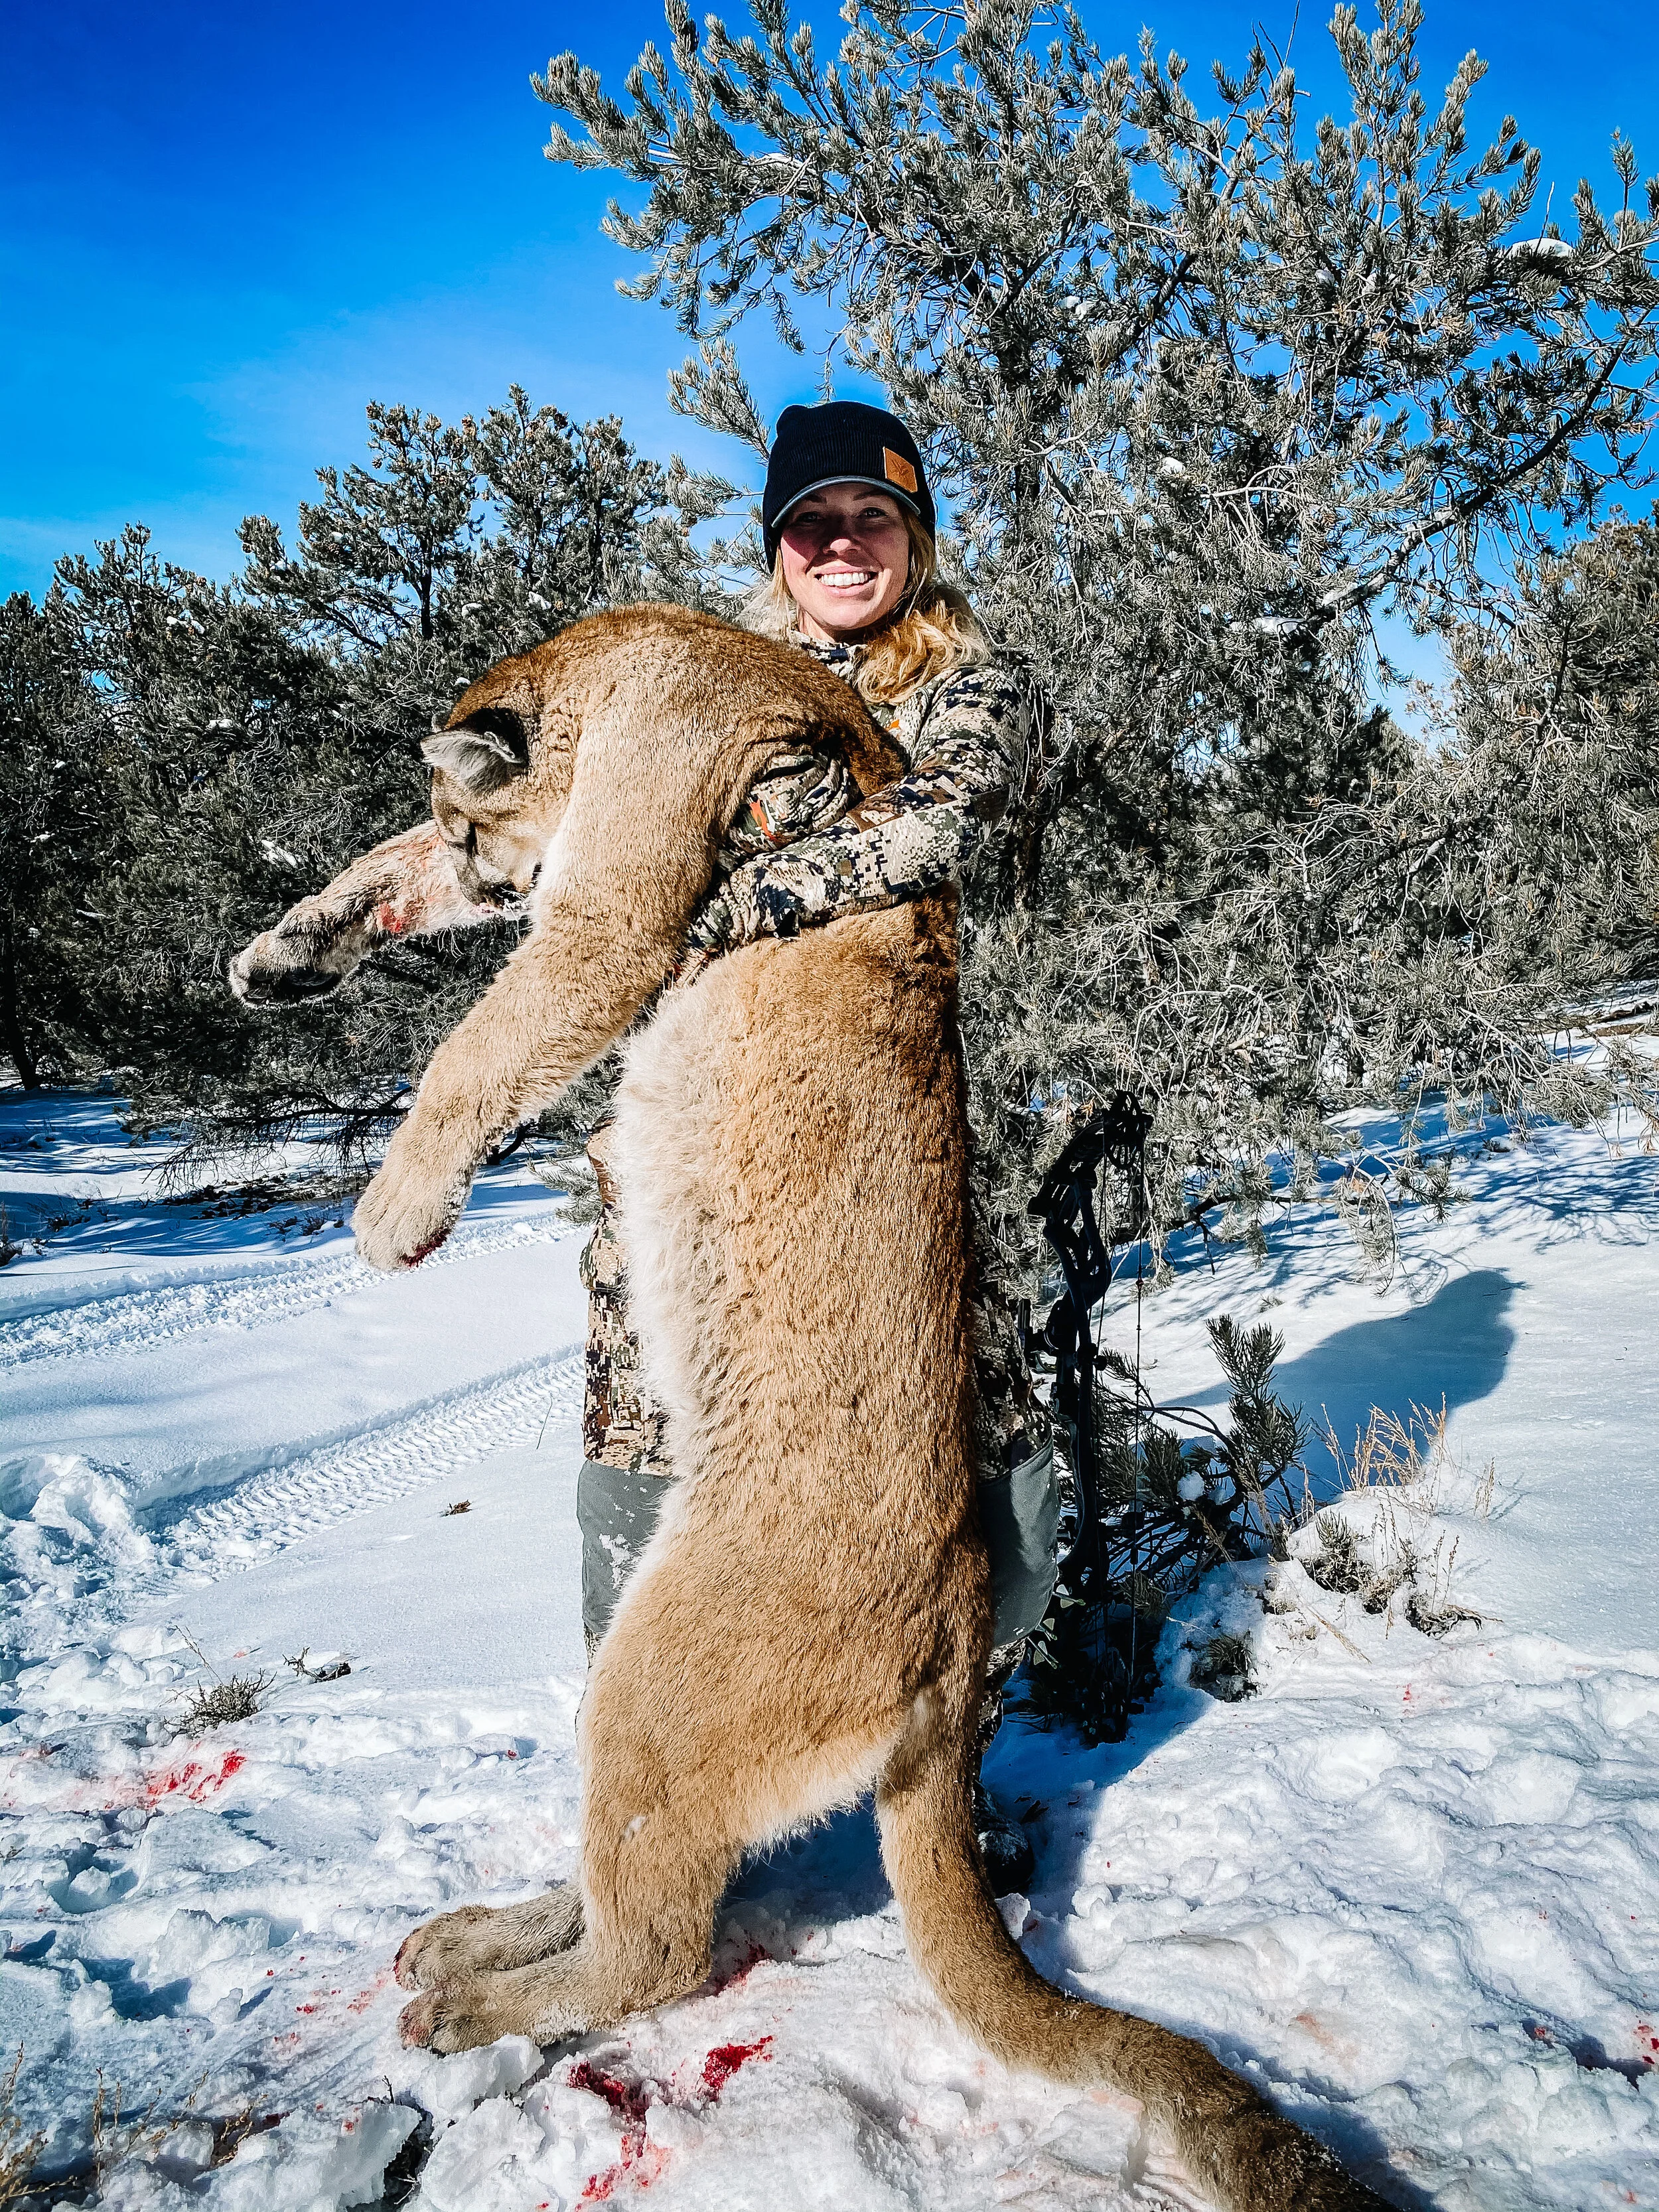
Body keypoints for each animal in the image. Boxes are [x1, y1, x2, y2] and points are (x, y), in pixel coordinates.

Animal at [232, 604, 1390, 2212]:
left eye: (483, 824)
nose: (490, 875)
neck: (637, 655)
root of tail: (960, 1655)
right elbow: (374, 868)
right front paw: (283, 953)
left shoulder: (615, 907)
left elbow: (483, 1035)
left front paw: (391, 1212)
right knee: (631, 1893)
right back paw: (474, 1935)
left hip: (654, 1680)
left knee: (660, 1945)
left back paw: (468, 1999)